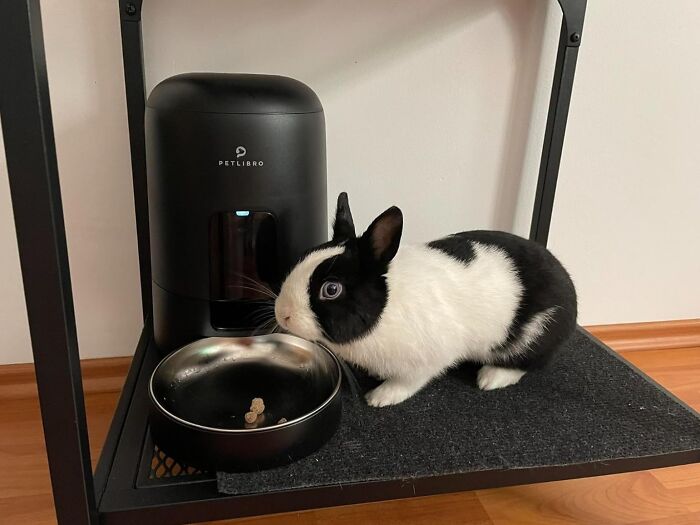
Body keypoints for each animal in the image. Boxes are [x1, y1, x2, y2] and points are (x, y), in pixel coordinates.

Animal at [275, 192, 577, 407]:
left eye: (331, 289)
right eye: (304, 256)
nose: (282, 314)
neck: (385, 309)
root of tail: (570, 290)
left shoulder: (427, 360)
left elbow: (409, 382)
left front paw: (380, 397)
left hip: (535, 333)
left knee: (527, 362)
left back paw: (491, 378)